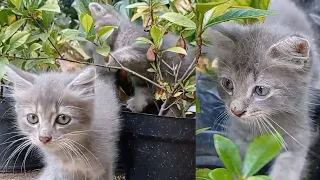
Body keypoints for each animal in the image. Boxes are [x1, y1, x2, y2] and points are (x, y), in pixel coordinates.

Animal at [202, 0, 316, 179]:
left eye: (261, 90)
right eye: (228, 84)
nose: (235, 110)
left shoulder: (298, 136)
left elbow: (287, 170)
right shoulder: (238, 138)